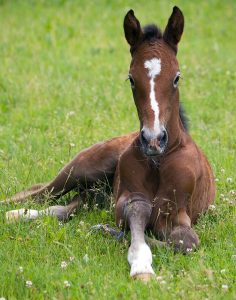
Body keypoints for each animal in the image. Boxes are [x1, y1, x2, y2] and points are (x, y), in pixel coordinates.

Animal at [3, 5, 216, 280]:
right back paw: (14, 212)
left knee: (73, 204)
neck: (158, 162)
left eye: (177, 77)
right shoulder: (129, 198)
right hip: (81, 169)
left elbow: (184, 242)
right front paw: (140, 264)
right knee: (38, 193)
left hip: (93, 189)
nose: (153, 140)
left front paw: (108, 231)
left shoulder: (176, 213)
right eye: (131, 79)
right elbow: (138, 212)